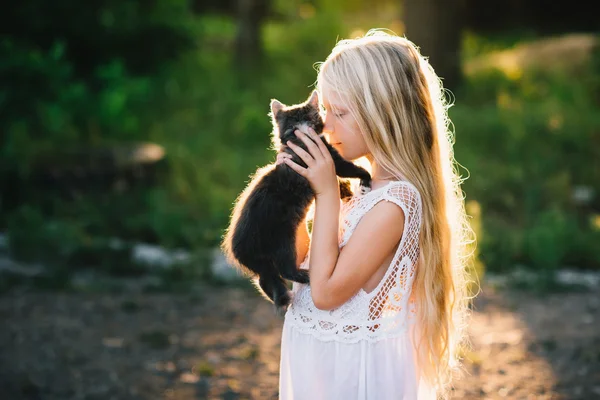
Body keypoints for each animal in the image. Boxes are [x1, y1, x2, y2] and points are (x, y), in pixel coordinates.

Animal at [220, 92, 370, 314]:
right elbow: (350, 168)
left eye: (310, 118)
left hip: (268, 261)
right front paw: (365, 179)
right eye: (293, 126)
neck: (301, 142)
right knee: (284, 270)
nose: (305, 128)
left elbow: (338, 179)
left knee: (266, 280)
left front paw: (345, 191)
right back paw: (303, 276)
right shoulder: (332, 159)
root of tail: (242, 250)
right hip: (283, 240)